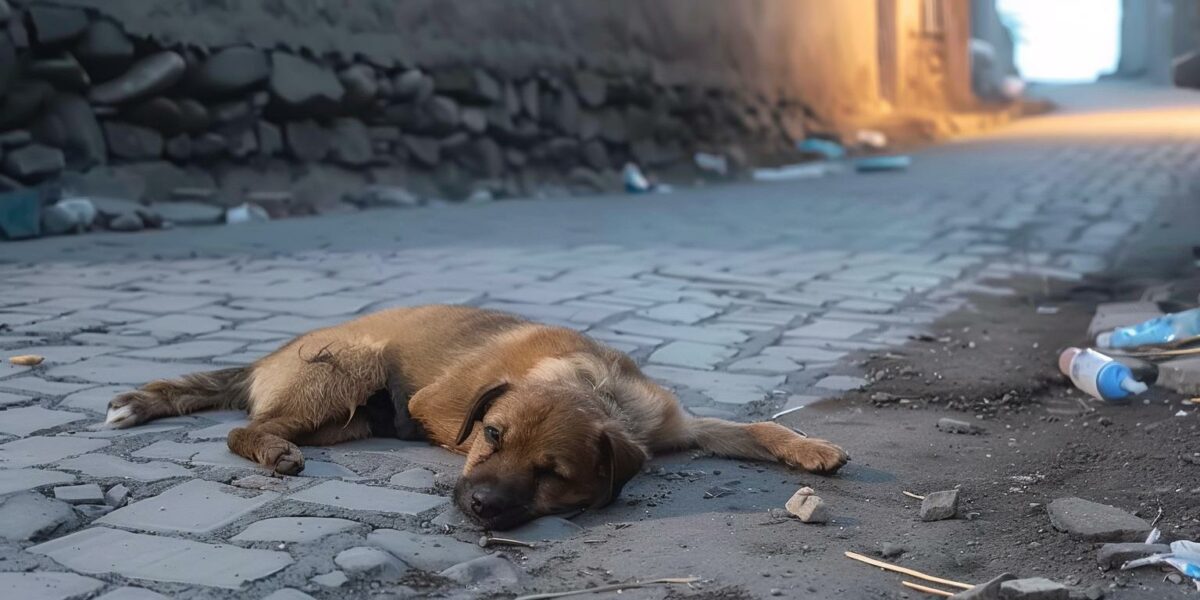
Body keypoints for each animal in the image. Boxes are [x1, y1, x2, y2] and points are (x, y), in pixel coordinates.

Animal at [108, 307, 849, 528]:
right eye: (491, 436)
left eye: (553, 472)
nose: (478, 507)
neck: (590, 384)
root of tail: (266, 356)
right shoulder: (432, 406)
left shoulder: (677, 425)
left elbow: (757, 428)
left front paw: (809, 447)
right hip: (352, 365)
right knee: (244, 429)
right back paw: (272, 451)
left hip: (348, 417)